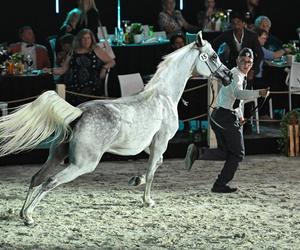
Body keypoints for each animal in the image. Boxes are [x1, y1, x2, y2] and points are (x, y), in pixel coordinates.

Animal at [0, 30, 232, 226]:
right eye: (213, 56)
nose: (228, 76)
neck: (163, 96)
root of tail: (78, 113)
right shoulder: (161, 141)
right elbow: (152, 170)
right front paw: (147, 200)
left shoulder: (149, 145)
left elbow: (156, 164)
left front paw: (135, 180)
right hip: (82, 164)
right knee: (50, 181)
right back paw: (29, 216)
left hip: (57, 154)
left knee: (37, 177)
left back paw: (22, 213)